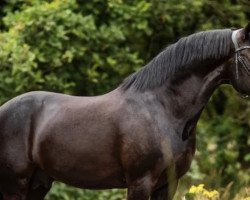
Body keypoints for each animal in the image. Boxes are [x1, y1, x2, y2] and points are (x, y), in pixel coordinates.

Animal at [0, 22, 250, 199]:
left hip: (38, 184)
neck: (163, 110)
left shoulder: (168, 184)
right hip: (15, 185)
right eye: (249, 56)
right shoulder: (140, 182)